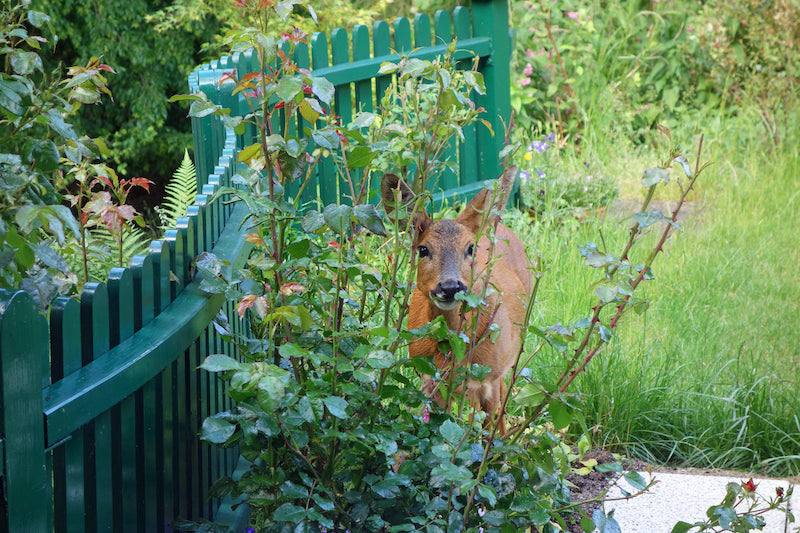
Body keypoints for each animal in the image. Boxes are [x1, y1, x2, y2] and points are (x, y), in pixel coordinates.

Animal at [381, 166, 532, 434]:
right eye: (423, 249)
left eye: (471, 248)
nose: (450, 287)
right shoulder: (429, 379)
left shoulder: (488, 378)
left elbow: (486, 432)